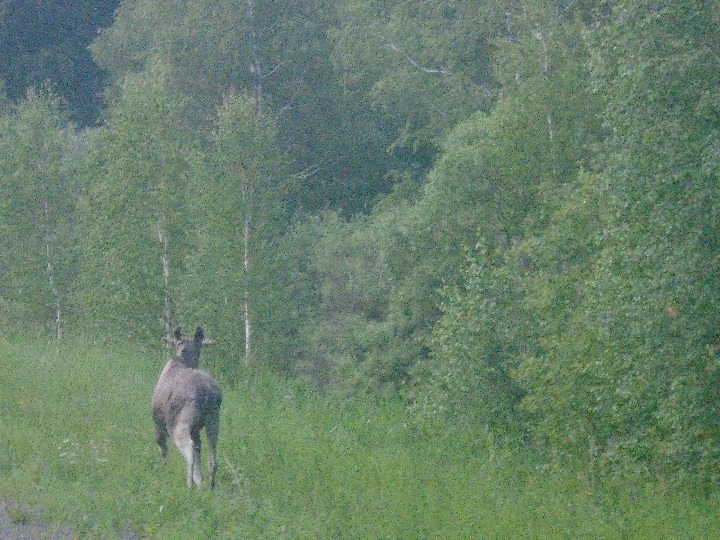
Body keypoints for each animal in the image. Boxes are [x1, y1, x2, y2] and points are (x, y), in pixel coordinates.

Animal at [150, 324, 221, 490]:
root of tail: (207, 393)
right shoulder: (196, 430)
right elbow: (199, 452)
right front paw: (200, 482)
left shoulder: (158, 425)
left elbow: (163, 449)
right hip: (213, 420)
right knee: (211, 455)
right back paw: (210, 486)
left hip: (179, 424)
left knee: (189, 450)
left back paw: (189, 485)